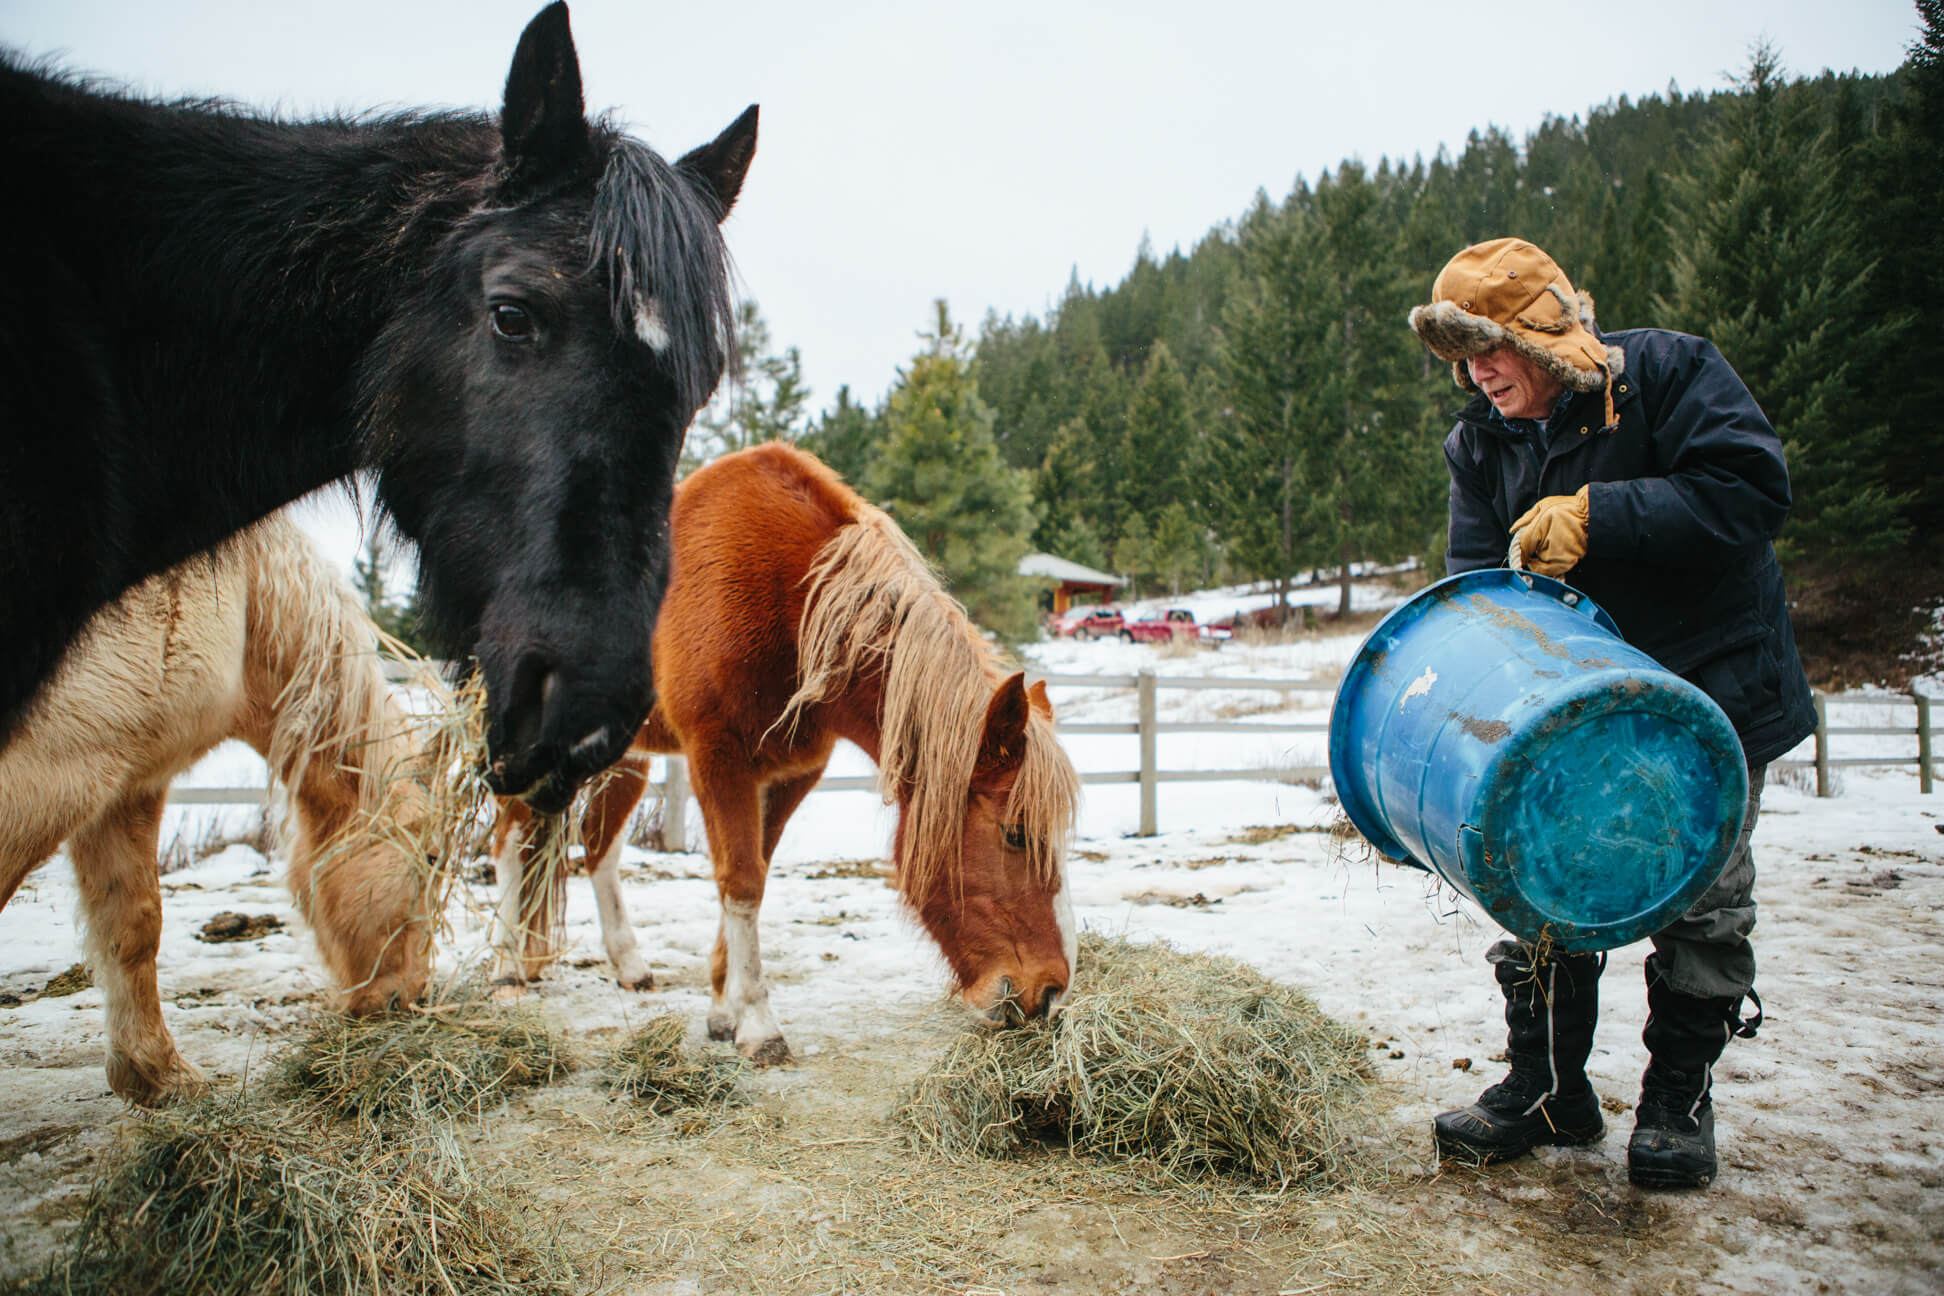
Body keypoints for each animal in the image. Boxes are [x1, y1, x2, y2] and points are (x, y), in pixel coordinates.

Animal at [0, 516, 433, 1103]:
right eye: (431, 859)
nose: (413, 997)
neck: (244, 599)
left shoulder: (123, 785)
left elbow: (133, 924)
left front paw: (157, 1075)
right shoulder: (58, 772)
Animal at [493, 446, 1080, 1064]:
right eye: (1016, 833)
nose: (1049, 993)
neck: (795, 602)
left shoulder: (791, 774)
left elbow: (753, 873)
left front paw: (723, 1010)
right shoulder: (717, 759)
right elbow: (741, 882)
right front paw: (758, 1024)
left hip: (621, 756)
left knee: (598, 842)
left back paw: (626, 965)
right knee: (508, 837)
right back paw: (506, 969)